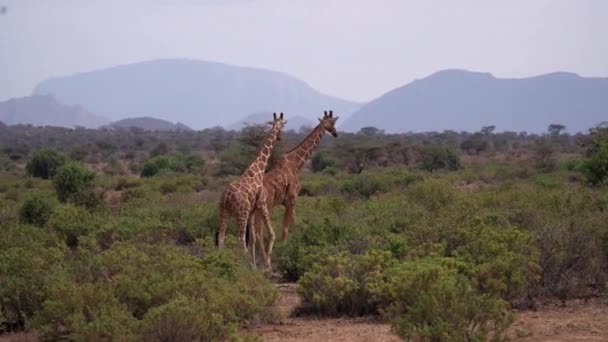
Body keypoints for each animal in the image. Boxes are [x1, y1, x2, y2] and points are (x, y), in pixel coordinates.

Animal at [216, 111, 288, 268]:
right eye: (282, 125)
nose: (280, 137)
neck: (258, 170)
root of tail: (226, 197)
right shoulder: (262, 204)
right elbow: (271, 233)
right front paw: (267, 265)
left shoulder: (253, 210)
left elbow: (254, 238)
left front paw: (255, 266)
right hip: (241, 212)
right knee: (240, 238)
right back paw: (242, 266)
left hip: (224, 211)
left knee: (221, 237)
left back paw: (222, 261)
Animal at [251, 109, 338, 268]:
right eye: (332, 122)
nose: (336, 133)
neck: (297, 163)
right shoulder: (292, 199)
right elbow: (291, 227)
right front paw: (291, 248)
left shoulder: (287, 202)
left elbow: (287, 227)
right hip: (263, 209)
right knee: (259, 233)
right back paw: (265, 261)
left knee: (254, 234)